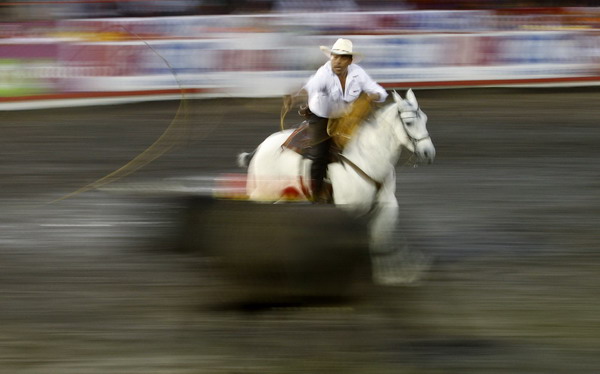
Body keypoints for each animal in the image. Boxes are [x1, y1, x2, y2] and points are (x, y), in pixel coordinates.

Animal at [237, 89, 434, 284]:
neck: (367, 158)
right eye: (409, 123)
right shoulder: (347, 210)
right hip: (262, 195)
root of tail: (258, 150)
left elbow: (381, 235)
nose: (428, 153)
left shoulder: (387, 203)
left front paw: (395, 271)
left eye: (425, 119)